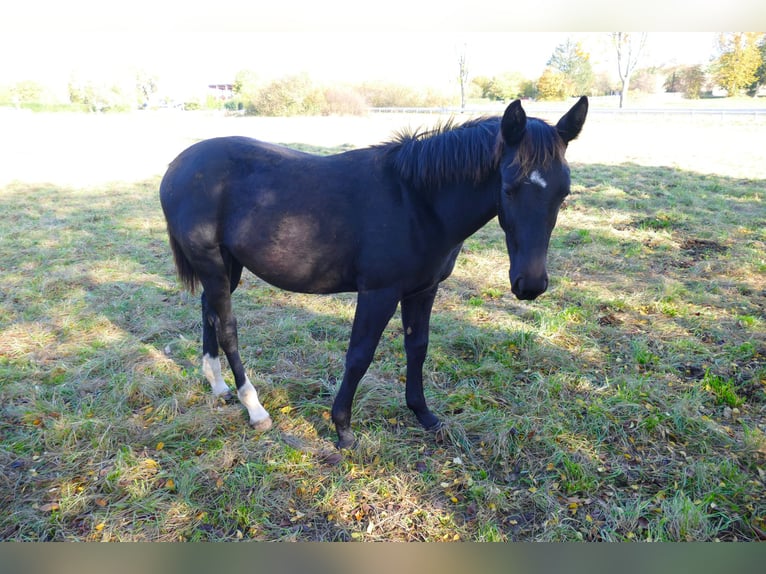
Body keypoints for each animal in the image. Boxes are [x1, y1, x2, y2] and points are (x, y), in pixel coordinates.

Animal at [158, 98, 588, 450]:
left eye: (563, 192)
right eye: (510, 187)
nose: (530, 284)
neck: (416, 200)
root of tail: (178, 165)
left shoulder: (422, 290)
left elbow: (418, 347)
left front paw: (424, 414)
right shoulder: (380, 292)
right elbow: (359, 355)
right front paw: (343, 429)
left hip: (227, 265)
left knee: (209, 312)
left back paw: (217, 385)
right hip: (212, 264)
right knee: (227, 326)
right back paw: (255, 409)